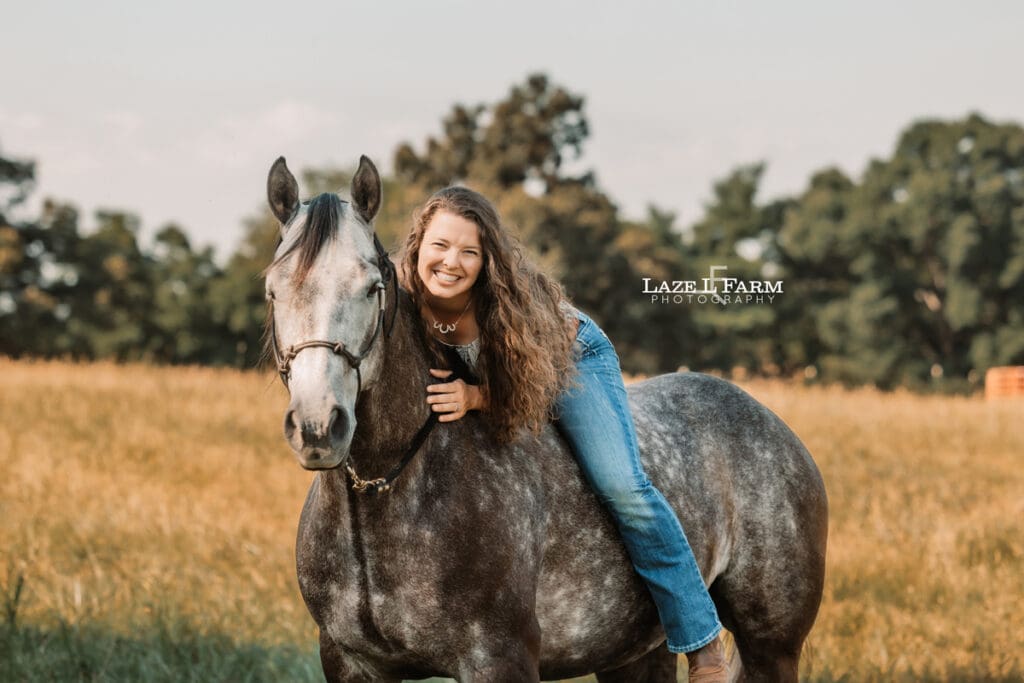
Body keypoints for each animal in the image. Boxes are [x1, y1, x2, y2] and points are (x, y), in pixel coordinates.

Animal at [263, 155, 828, 682]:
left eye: (372, 287)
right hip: (636, 657)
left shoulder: (500, 658)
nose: (318, 427)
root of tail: (771, 423)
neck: (391, 491)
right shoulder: (350, 662)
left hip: (771, 649)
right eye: (272, 290)